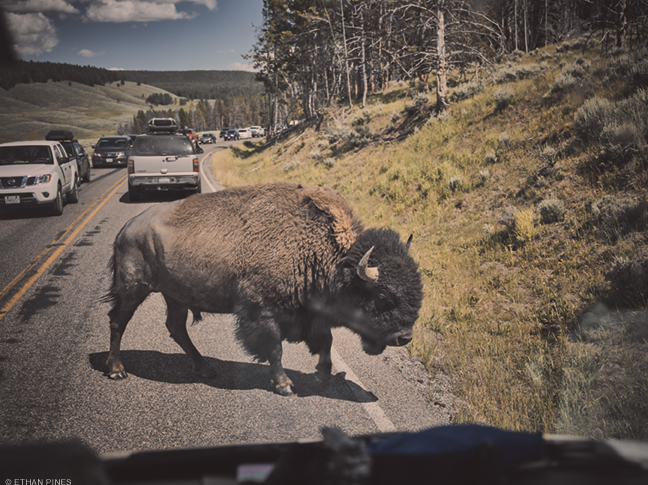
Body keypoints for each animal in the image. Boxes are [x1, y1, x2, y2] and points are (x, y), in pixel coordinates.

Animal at [104, 180, 422, 396]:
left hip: (175, 296)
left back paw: (206, 369)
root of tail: (127, 228)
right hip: (133, 289)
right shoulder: (263, 310)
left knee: (176, 327)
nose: (404, 337)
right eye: (382, 296)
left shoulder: (312, 314)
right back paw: (117, 370)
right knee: (118, 321)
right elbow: (275, 348)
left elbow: (325, 342)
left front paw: (323, 375)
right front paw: (285, 385)